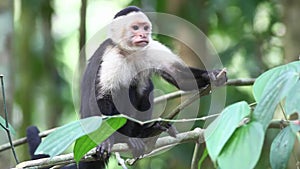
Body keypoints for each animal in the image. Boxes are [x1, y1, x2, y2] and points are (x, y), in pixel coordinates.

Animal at [27, 5, 226, 169]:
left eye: (145, 28)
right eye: (135, 28)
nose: (143, 35)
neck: (130, 52)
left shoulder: (150, 47)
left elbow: (177, 75)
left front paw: (211, 76)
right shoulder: (112, 56)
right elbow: (103, 97)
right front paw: (106, 140)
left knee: (144, 87)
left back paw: (145, 132)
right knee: (122, 89)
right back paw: (126, 138)